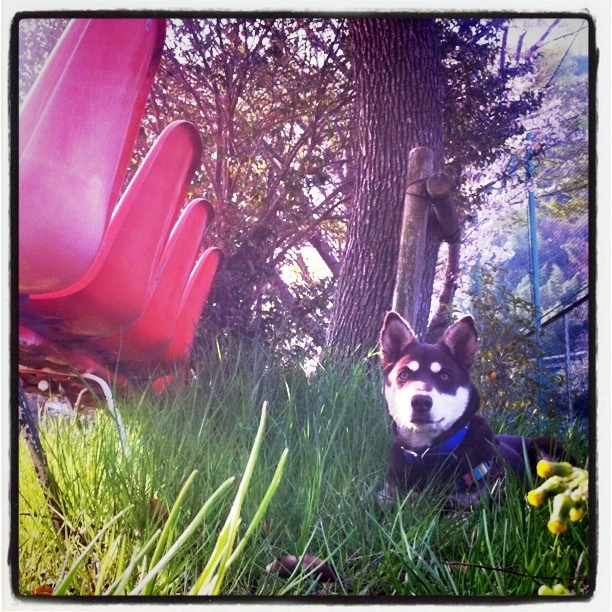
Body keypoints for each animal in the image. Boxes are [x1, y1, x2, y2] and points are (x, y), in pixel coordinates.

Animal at [377, 311, 567, 510]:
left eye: (445, 376)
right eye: (404, 374)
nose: (420, 401)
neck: (428, 455)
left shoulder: (486, 502)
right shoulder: (387, 496)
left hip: (548, 449)